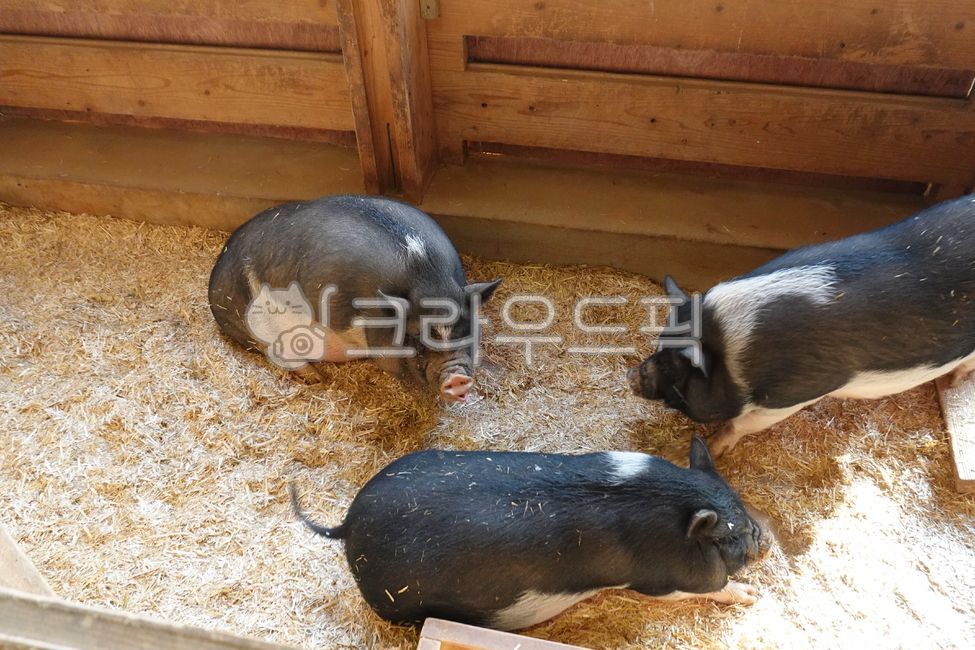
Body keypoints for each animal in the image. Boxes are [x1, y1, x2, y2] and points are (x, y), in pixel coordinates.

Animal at [208, 195, 500, 402]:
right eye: (416, 339)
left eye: (468, 330)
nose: (457, 379)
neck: (428, 279)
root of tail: (215, 280)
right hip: (257, 331)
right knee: (279, 356)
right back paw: (317, 379)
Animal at [289, 436, 767, 631]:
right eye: (731, 535)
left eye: (743, 511)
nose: (762, 539)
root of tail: (347, 526)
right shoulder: (661, 580)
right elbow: (703, 589)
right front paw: (752, 597)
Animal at [628, 194, 975, 456]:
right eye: (659, 347)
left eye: (674, 370)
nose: (632, 376)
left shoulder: (792, 396)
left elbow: (742, 424)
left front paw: (703, 450)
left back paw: (953, 382)